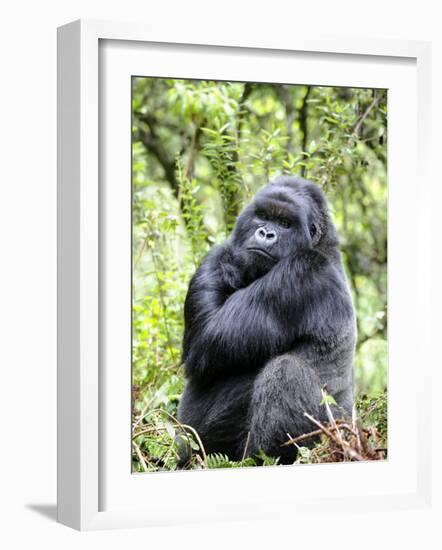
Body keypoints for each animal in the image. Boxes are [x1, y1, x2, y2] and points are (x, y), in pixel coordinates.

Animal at [178, 177, 354, 466]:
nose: (265, 233)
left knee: (286, 371)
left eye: (284, 223)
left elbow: (206, 339)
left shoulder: (302, 271)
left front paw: (228, 261)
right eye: (262, 216)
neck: (320, 244)